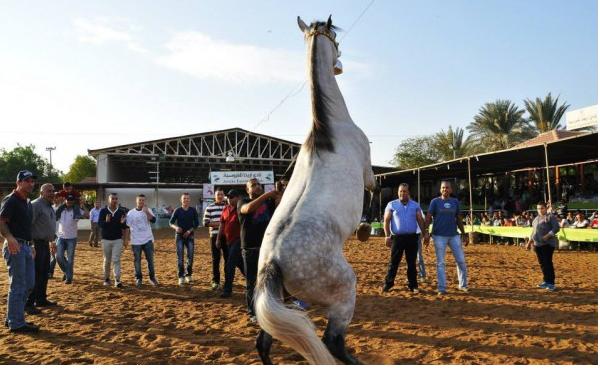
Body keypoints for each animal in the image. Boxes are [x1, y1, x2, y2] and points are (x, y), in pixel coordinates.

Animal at [253, 15, 376, 364]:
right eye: (335, 36)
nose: (339, 64)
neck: (329, 129)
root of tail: (273, 264)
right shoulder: (368, 172)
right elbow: (375, 192)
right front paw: (365, 227)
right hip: (344, 292)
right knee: (333, 342)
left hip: (282, 304)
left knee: (263, 343)